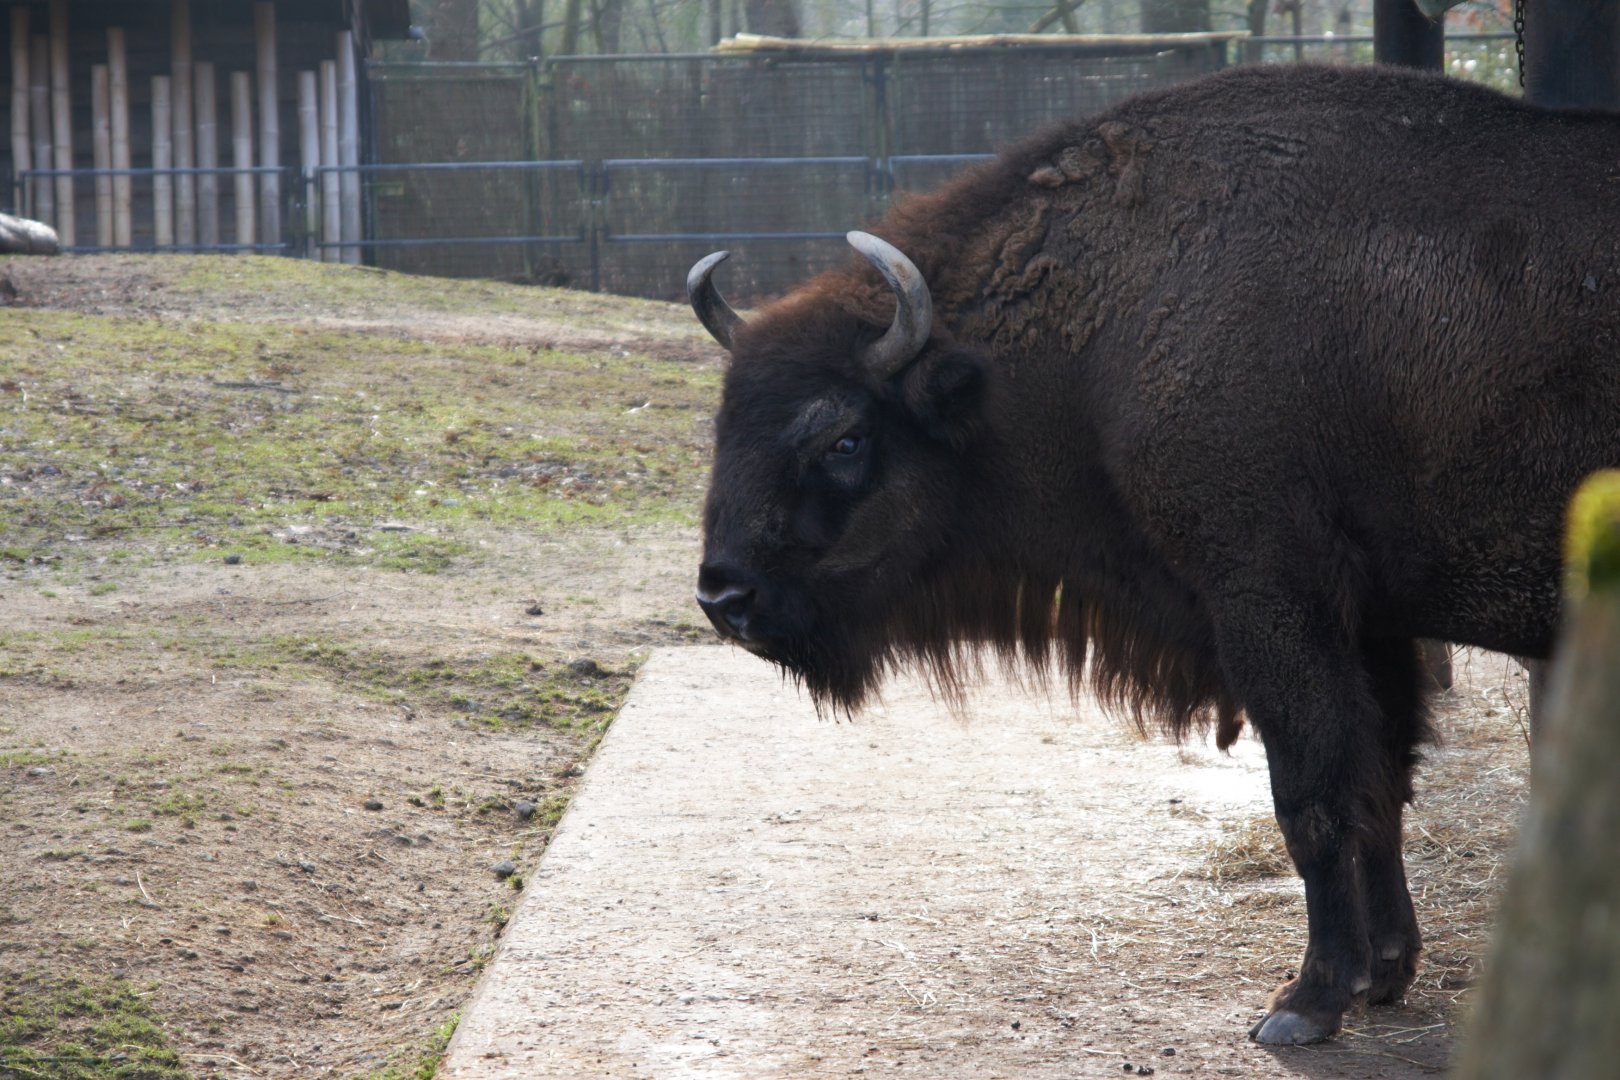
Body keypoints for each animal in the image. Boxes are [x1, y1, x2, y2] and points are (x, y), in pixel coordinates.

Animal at [686, 63, 1620, 1045]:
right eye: (725, 419)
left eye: (843, 437)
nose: (725, 597)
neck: (1104, 322)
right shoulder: (1372, 622)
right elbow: (1382, 781)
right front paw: (1385, 971)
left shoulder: (1269, 601)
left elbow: (1313, 795)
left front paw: (1305, 1004)